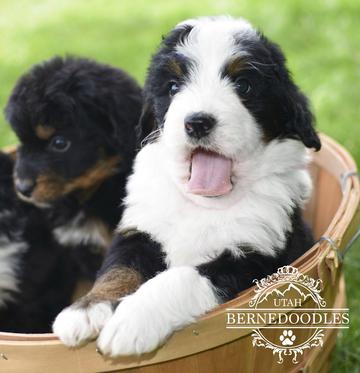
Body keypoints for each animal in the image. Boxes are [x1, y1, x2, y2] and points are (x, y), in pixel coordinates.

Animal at [53, 16, 320, 354]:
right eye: (173, 87)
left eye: (243, 85)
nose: (198, 122)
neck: (203, 202)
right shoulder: (139, 232)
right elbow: (118, 270)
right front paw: (87, 309)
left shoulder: (255, 257)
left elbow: (180, 278)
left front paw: (133, 320)